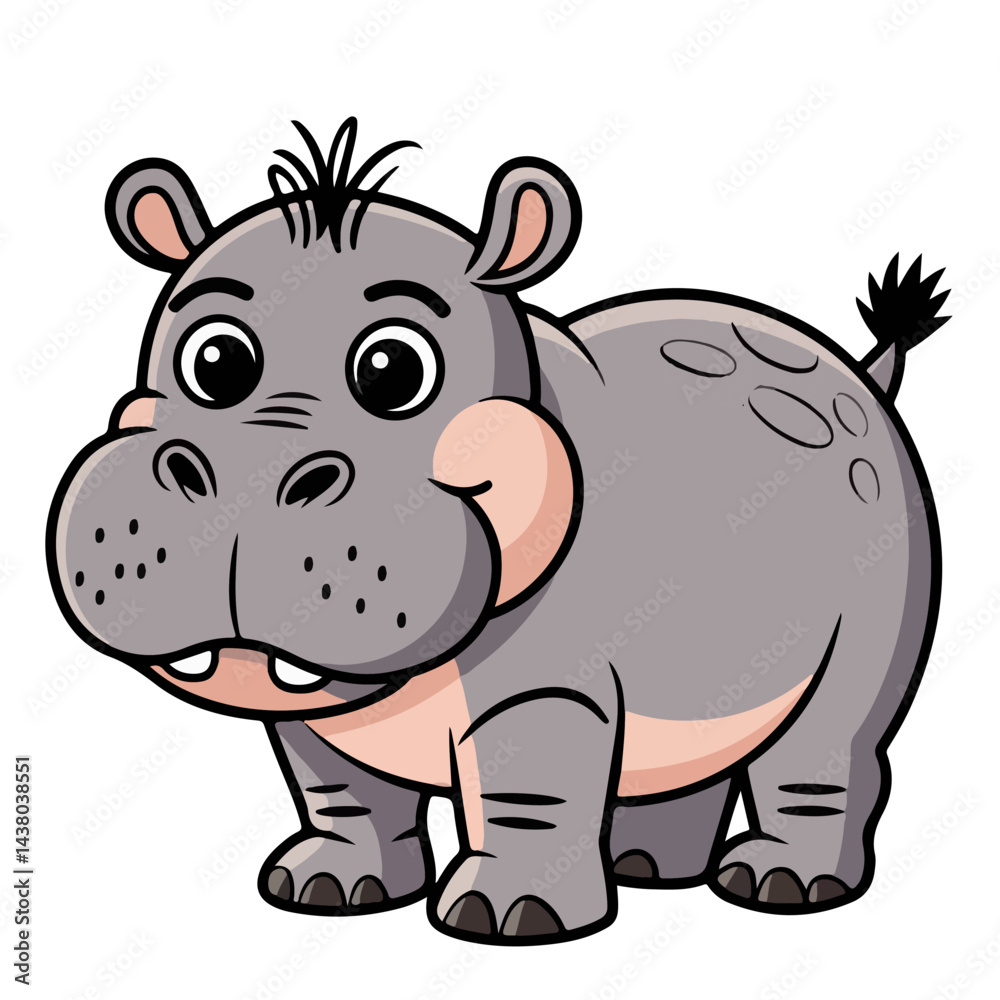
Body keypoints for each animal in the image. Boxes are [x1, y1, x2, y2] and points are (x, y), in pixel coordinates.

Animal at [47, 118, 948, 944]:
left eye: (394, 370)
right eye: (214, 361)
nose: (243, 487)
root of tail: (860, 374)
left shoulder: (544, 689)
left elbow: (527, 789)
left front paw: (509, 918)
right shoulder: (312, 713)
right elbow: (342, 795)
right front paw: (326, 890)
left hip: (885, 568)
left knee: (830, 740)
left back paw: (781, 887)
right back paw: (647, 869)